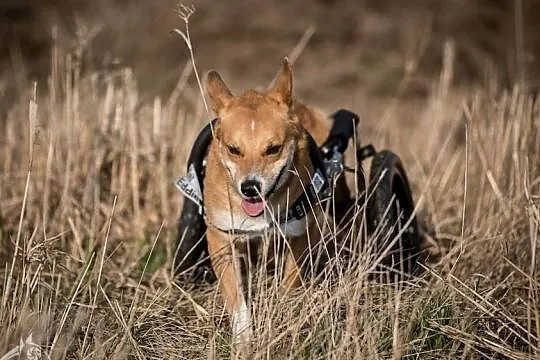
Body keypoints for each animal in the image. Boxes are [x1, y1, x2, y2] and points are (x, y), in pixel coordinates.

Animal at [202, 58, 350, 346]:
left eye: (273, 149)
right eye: (234, 150)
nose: (250, 188)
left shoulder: (302, 233)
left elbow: (290, 282)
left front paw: (282, 315)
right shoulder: (220, 239)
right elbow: (236, 298)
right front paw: (244, 339)